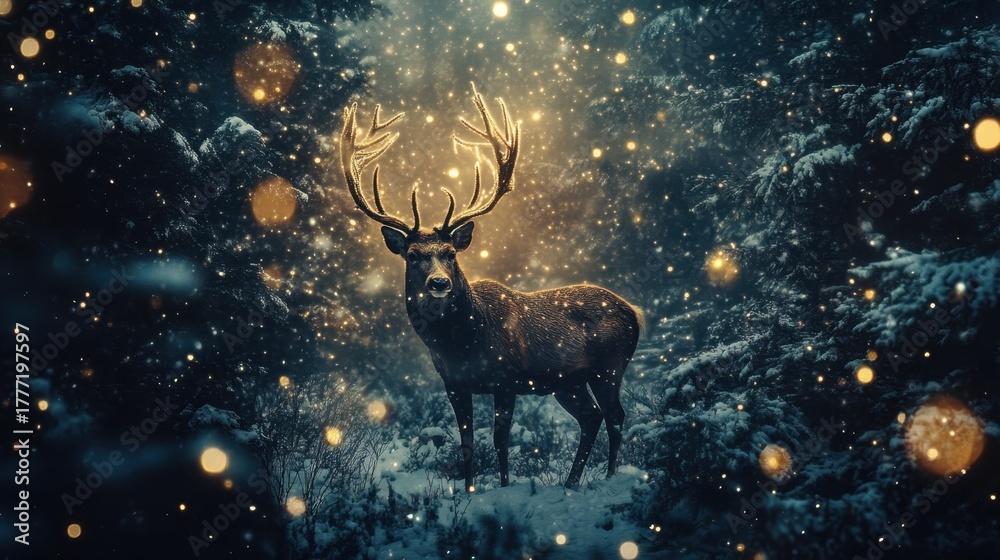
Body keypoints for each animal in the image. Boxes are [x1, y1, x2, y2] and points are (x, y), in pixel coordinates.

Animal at [339, 88, 645, 491]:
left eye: (451, 253)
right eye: (413, 255)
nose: (440, 283)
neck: (464, 342)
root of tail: (635, 312)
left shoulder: (507, 377)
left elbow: (501, 440)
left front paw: (503, 486)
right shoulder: (454, 384)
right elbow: (467, 441)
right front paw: (468, 491)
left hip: (610, 364)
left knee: (615, 415)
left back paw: (609, 476)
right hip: (568, 382)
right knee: (591, 416)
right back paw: (571, 481)